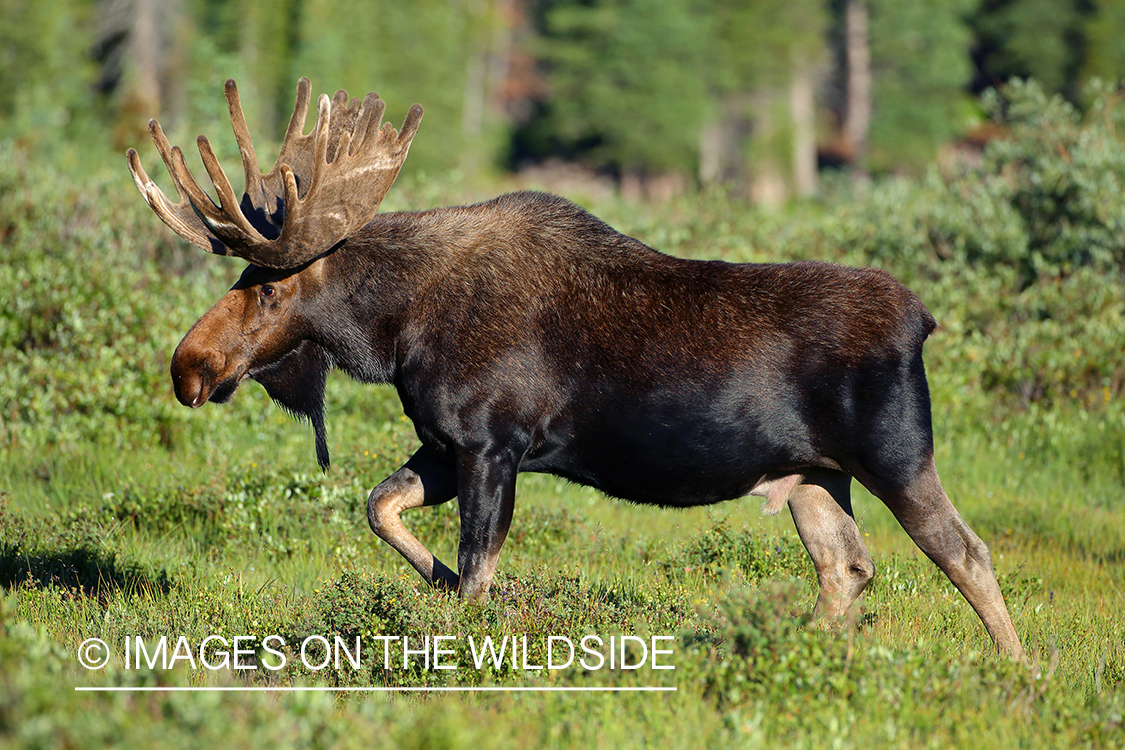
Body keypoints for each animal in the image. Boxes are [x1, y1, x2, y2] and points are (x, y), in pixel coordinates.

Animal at [127, 79, 1026, 661]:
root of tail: (922, 318)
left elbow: (479, 566)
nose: (188, 367)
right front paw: (436, 582)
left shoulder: (490, 441)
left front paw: (458, 633)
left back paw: (1019, 674)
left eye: (270, 287)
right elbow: (381, 507)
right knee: (848, 567)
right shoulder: (443, 444)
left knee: (966, 552)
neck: (393, 332)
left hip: (894, 453)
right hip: (811, 473)